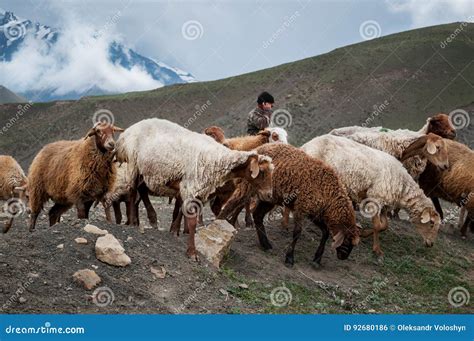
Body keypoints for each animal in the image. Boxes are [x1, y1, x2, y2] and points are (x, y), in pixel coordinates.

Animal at [115, 118, 276, 258]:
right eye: (262, 172)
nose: (269, 195)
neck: (217, 159)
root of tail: (126, 133)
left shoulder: (196, 190)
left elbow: (182, 211)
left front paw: (176, 231)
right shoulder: (189, 186)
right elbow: (191, 220)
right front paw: (192, 252)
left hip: (146, 170)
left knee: (141, 190)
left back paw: (148, 219)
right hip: (133, 164)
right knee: (132, 192)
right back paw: (132, 222)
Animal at [300, 133, 440, 255]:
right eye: (431, 223)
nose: (431, 244)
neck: (402, 186)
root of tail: (307, 144)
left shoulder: (384, 204)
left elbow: (384, 226)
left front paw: (363, 233)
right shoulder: (375, 198)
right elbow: (378, 226)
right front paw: (376, 249)